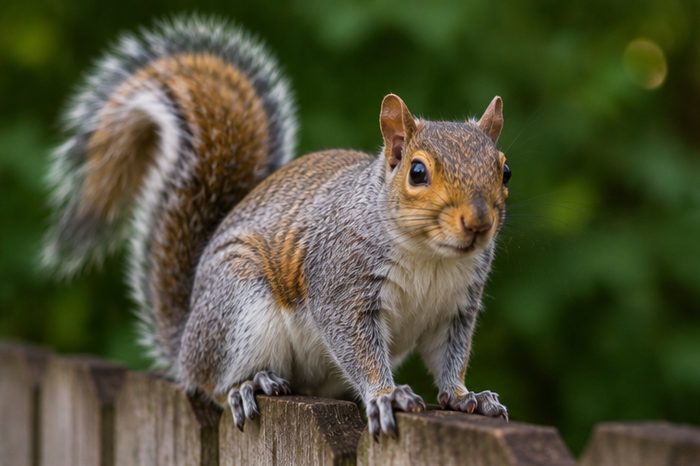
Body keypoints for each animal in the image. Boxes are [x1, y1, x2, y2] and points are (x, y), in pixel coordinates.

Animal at [44, 16, 511, 438]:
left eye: (504, 171)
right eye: (417, 172)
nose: (478, 222)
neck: (429, 256)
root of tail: (186, 341)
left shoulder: (456, 308)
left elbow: (450, 357)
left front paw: (465, 396)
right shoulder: (340, 281)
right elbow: (355, 344)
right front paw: (385, 394)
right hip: (237, 308)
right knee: (210, 383)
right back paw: (248, 385)